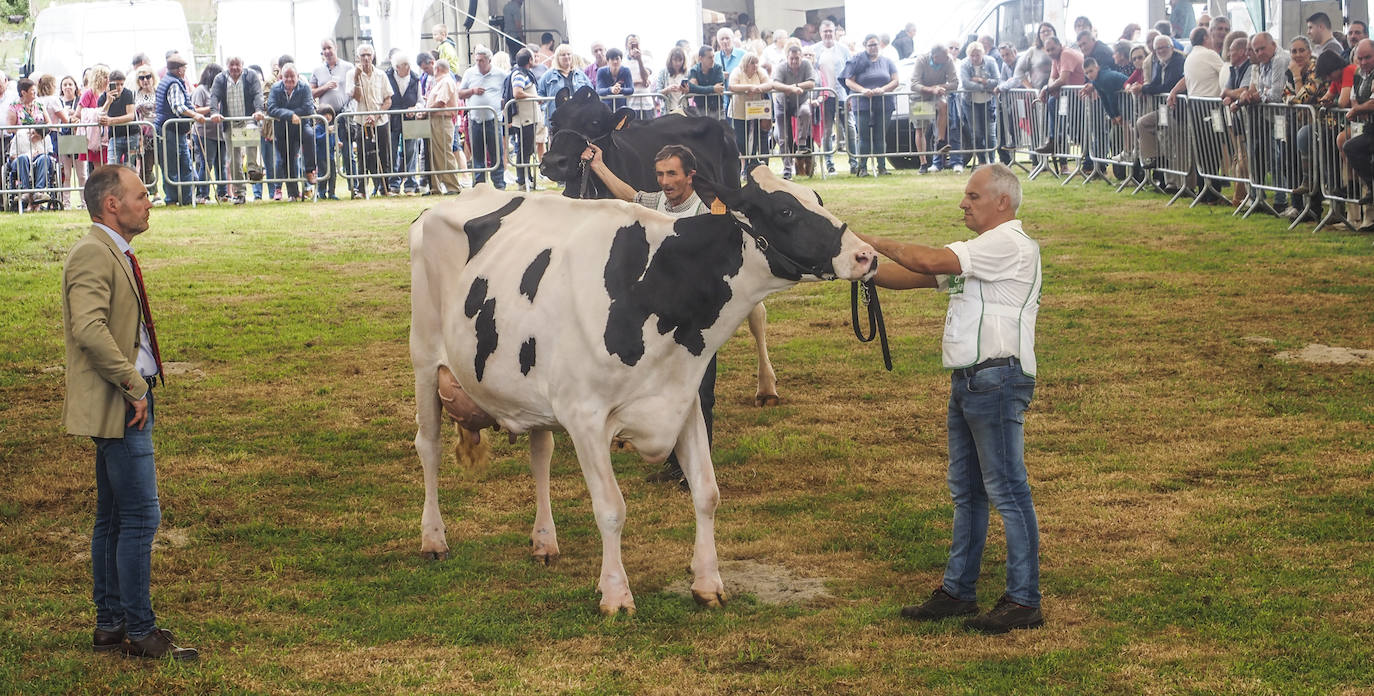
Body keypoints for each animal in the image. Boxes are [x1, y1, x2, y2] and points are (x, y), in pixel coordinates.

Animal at [409, 166, 879, 612]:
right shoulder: (585, 416)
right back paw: (434, 539)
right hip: (424, 360)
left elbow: (707, 493)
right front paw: (616, 595)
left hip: (528, 389)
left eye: (817, 198)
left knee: (540, 453)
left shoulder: (682, 400)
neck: (652, 289)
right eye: (785, 211)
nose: (867, 255)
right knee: (428, 446)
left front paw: (708, 584)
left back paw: (544, 541)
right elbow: (611, 508)